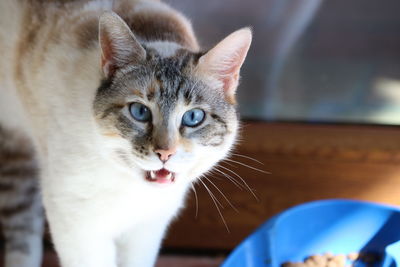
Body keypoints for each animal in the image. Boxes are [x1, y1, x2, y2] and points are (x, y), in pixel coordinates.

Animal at [0, 0, 252, 267]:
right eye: (140, 112)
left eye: (193, 117)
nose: (165, 153)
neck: (132, 189)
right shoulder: (78, 228)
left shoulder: (147, 229)